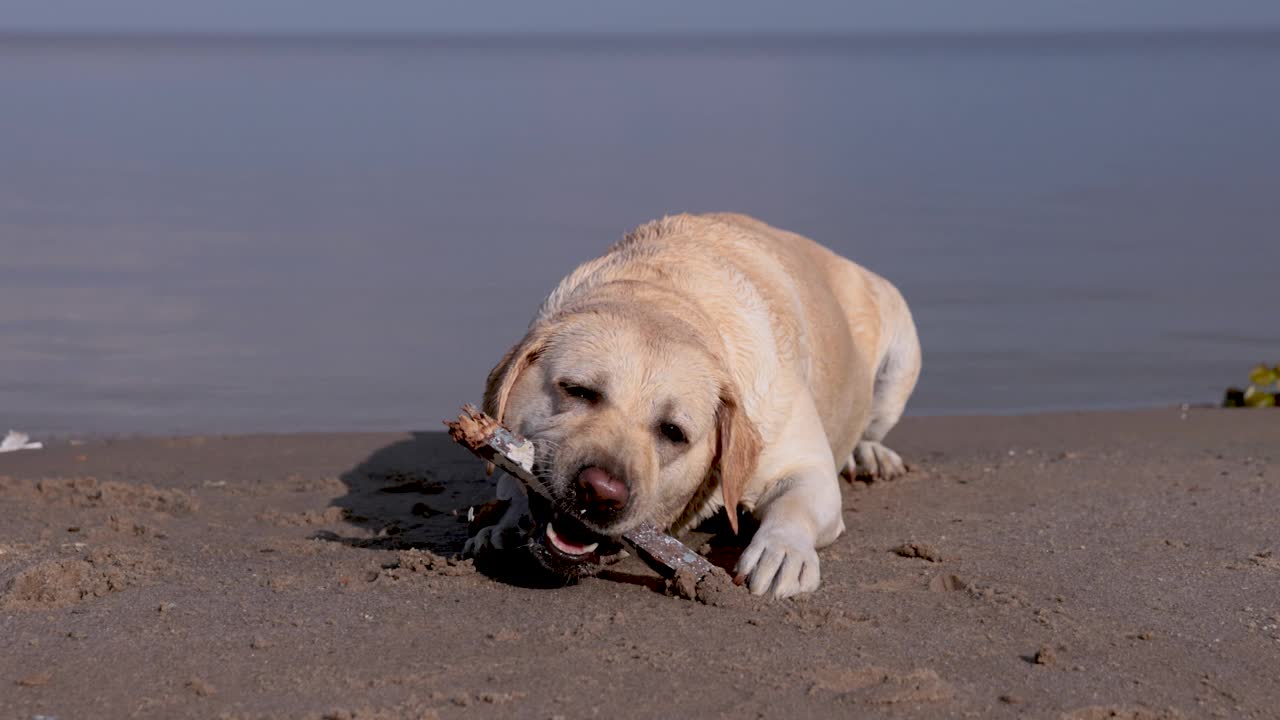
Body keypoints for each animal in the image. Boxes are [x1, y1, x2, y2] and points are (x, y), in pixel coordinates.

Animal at [463, 211, 921, 594]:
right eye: (577, 391)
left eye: (673, 432)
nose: (601, 493)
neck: (667, 297)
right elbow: (510, 477)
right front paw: (503, 526)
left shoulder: (803, 464)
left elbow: (796, 504)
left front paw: (782, 552)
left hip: (900, 358)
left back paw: (870, 456)